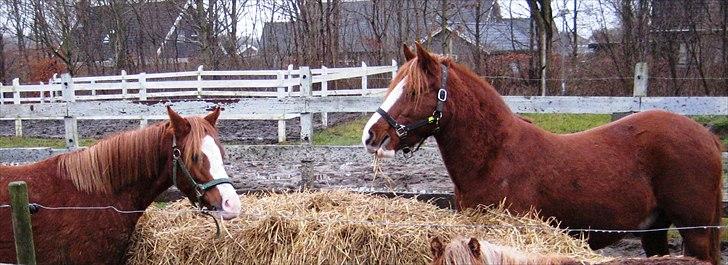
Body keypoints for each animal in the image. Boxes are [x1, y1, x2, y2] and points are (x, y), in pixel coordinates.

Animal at [366, 42, 724, 262]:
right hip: (654, 229)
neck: (495, 157)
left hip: (696, 231)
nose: (372, 135)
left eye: (414, 91)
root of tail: (708, 136)